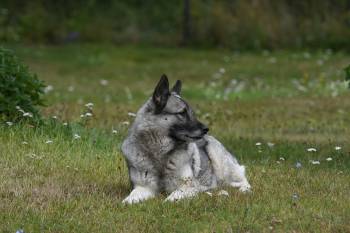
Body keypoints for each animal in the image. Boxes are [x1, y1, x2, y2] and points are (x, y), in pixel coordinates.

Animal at [121, 75, 250, 204]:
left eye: (191, 113)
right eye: (182, 113)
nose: (206, 129)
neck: (160, 154)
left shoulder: (187, 186)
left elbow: (173, 196)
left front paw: (167, 201)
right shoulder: (143, 187)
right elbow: (131, 197)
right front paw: (127, 202)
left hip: (221, 164)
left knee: (241, 180)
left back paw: (243, 190)